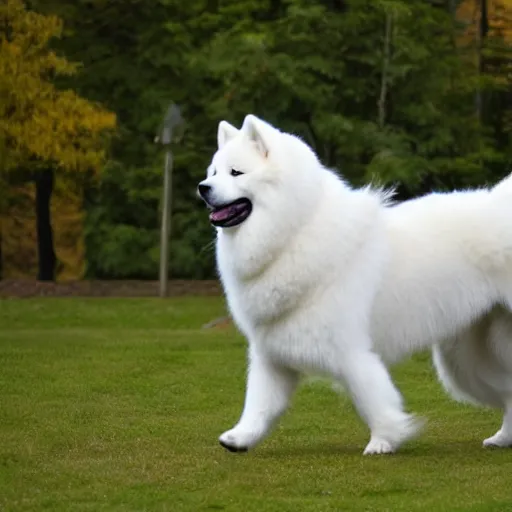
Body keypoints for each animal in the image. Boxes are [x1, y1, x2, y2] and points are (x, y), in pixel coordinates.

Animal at [198, 114, 512, 454]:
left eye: (236, 172)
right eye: (213, 173)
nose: (202, 188)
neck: (296, 229)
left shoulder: (349, 351)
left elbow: (371, 397)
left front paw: (384, 440)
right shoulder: (272, 355)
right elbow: (260, 404)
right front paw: (240, 438)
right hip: (466, 359)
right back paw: (503, 438)